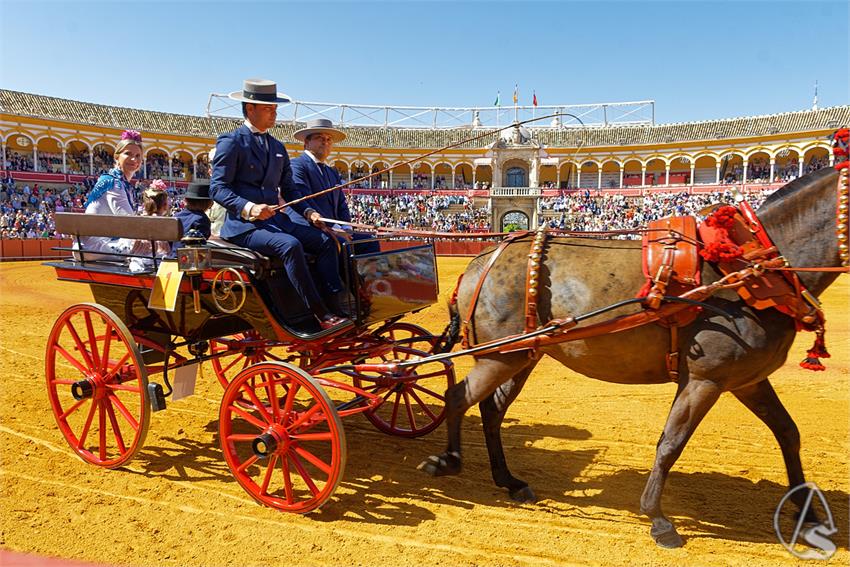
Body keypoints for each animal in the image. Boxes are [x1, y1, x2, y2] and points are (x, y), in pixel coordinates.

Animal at [418, 166, 840, 548]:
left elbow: (788, 432)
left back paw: (508, 480)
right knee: (458, 397)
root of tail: (481, 260)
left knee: (490, 409)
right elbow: (671, 442)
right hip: (501, 357)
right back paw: (448, 460)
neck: (748, 268)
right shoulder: (704, 379)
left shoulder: (747, 379)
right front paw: (659, 519)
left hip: (520, 355)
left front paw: (808, 512)